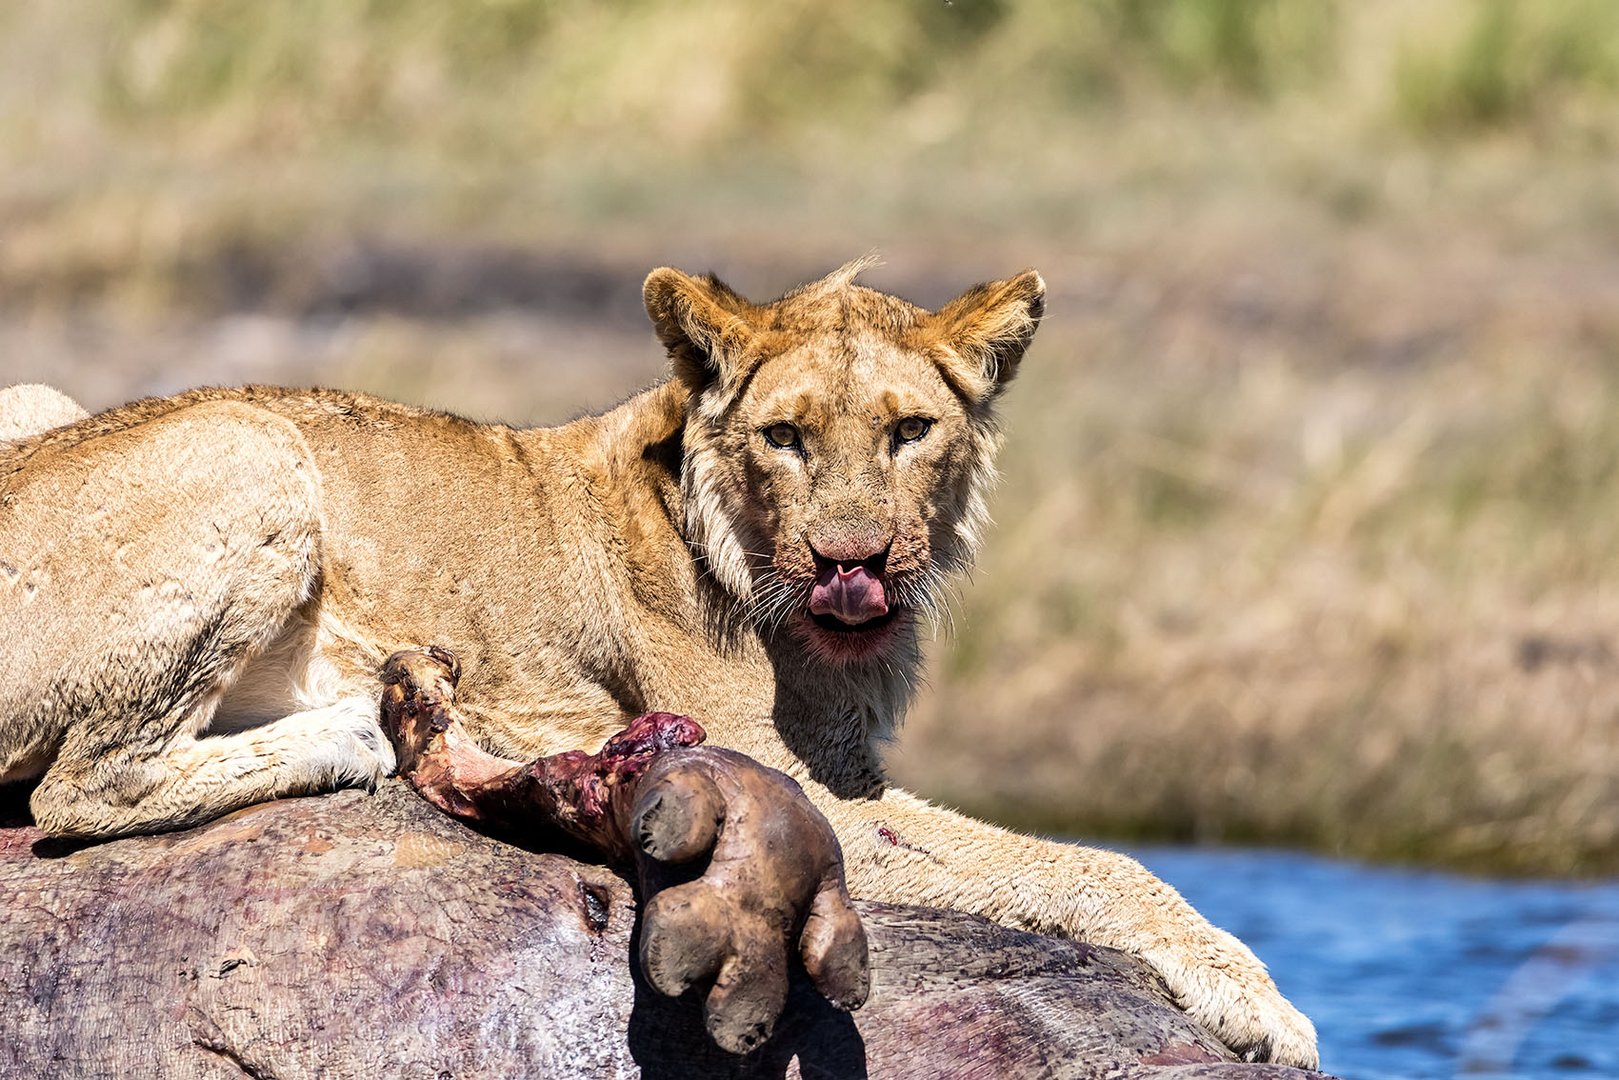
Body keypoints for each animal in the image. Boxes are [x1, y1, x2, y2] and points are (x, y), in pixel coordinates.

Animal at [0, 259, 1314, 1062]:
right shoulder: (813, 788)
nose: (852, 563)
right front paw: (1262, 1001)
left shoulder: (848, 763)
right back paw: (353, 729)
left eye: (909, 431)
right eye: (784, 438)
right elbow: (1086, 863)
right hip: (249, 441)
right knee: (83, 785)